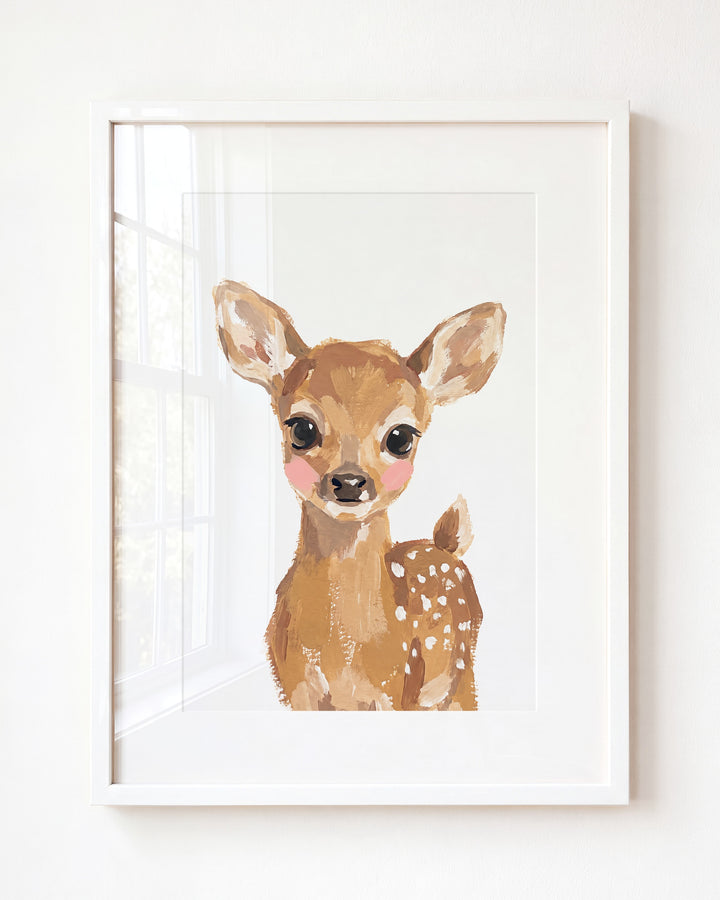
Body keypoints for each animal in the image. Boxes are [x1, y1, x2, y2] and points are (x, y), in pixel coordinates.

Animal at [214, 280, 506, 710]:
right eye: (301, 428)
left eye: (401, 437)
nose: (350, 481)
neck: (344, 653)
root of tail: (445, 545)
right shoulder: (295, 689)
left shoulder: (395, 689)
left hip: (461, 672)